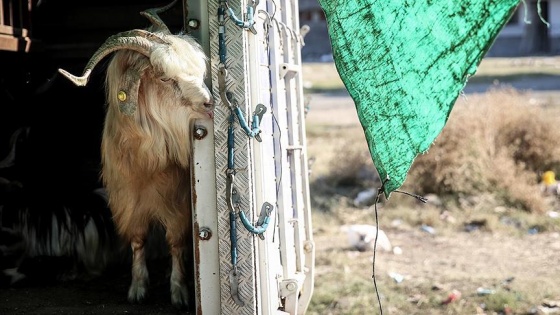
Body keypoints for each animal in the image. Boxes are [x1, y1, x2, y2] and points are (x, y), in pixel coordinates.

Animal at [57, 1, 214, 310]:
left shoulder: (177, 202)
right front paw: (138, 288)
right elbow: (138, 239)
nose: (209, 102)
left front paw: (179, 291)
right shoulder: (127, 199)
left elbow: (175, 241)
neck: (147, 164)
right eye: (165, 77)